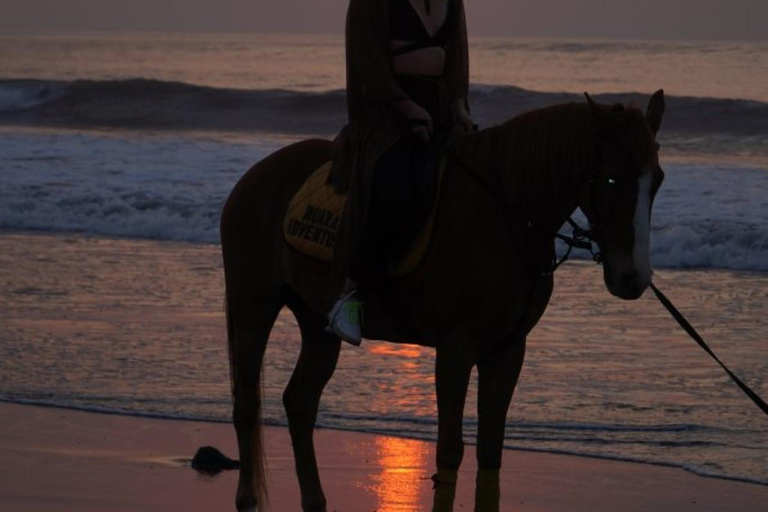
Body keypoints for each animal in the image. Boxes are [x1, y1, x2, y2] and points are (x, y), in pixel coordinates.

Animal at [220, 90, 664, 510]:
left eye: (656, 180)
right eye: (612, 181)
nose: (634, 277)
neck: (502, 215)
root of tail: (254, 176)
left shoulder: (507, 350)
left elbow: (491, 450)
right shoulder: (455, 348)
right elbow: (449, 450)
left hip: (317, 323)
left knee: (300, 402)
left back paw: (314, 500)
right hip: (253, 304)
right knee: (247, 403)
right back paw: (246, 497)